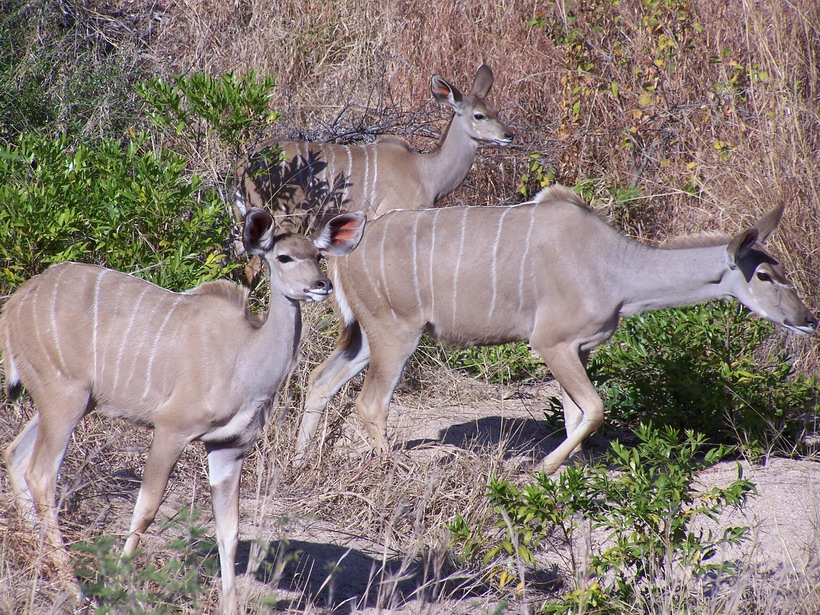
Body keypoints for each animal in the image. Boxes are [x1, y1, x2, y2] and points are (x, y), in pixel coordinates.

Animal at [0, 209, 366, 612]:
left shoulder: (229, 448)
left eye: (318, 256)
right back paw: (75, 588)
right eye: (283, 257)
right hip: (65, 396)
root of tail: (16, 304)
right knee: (42, 473)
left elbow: (230, 530)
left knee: (15, 453)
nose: (321, 284)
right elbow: (146, 509)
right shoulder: (171, 429)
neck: (244, 356)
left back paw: (41, 561)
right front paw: (119, 583)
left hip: (69, 400)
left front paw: (230, 605)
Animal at [231, 64, 512, 233]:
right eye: (478, 116)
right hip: (283, 216)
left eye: (496, 111)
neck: (427, 172)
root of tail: (246, 163)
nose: (508, 135)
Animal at [298, 185, 816, 470]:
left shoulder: (579, 349)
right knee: (370, 403)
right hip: (396, 334)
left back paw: (302, 461)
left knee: (320, 380)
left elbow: (575, 415)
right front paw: (544, 467)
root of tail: (340, 254)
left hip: (367, 337)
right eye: (764, 276)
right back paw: (393, 471)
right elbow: (595, 410)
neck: (614, 267)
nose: (807, 320)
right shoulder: (552, 343)